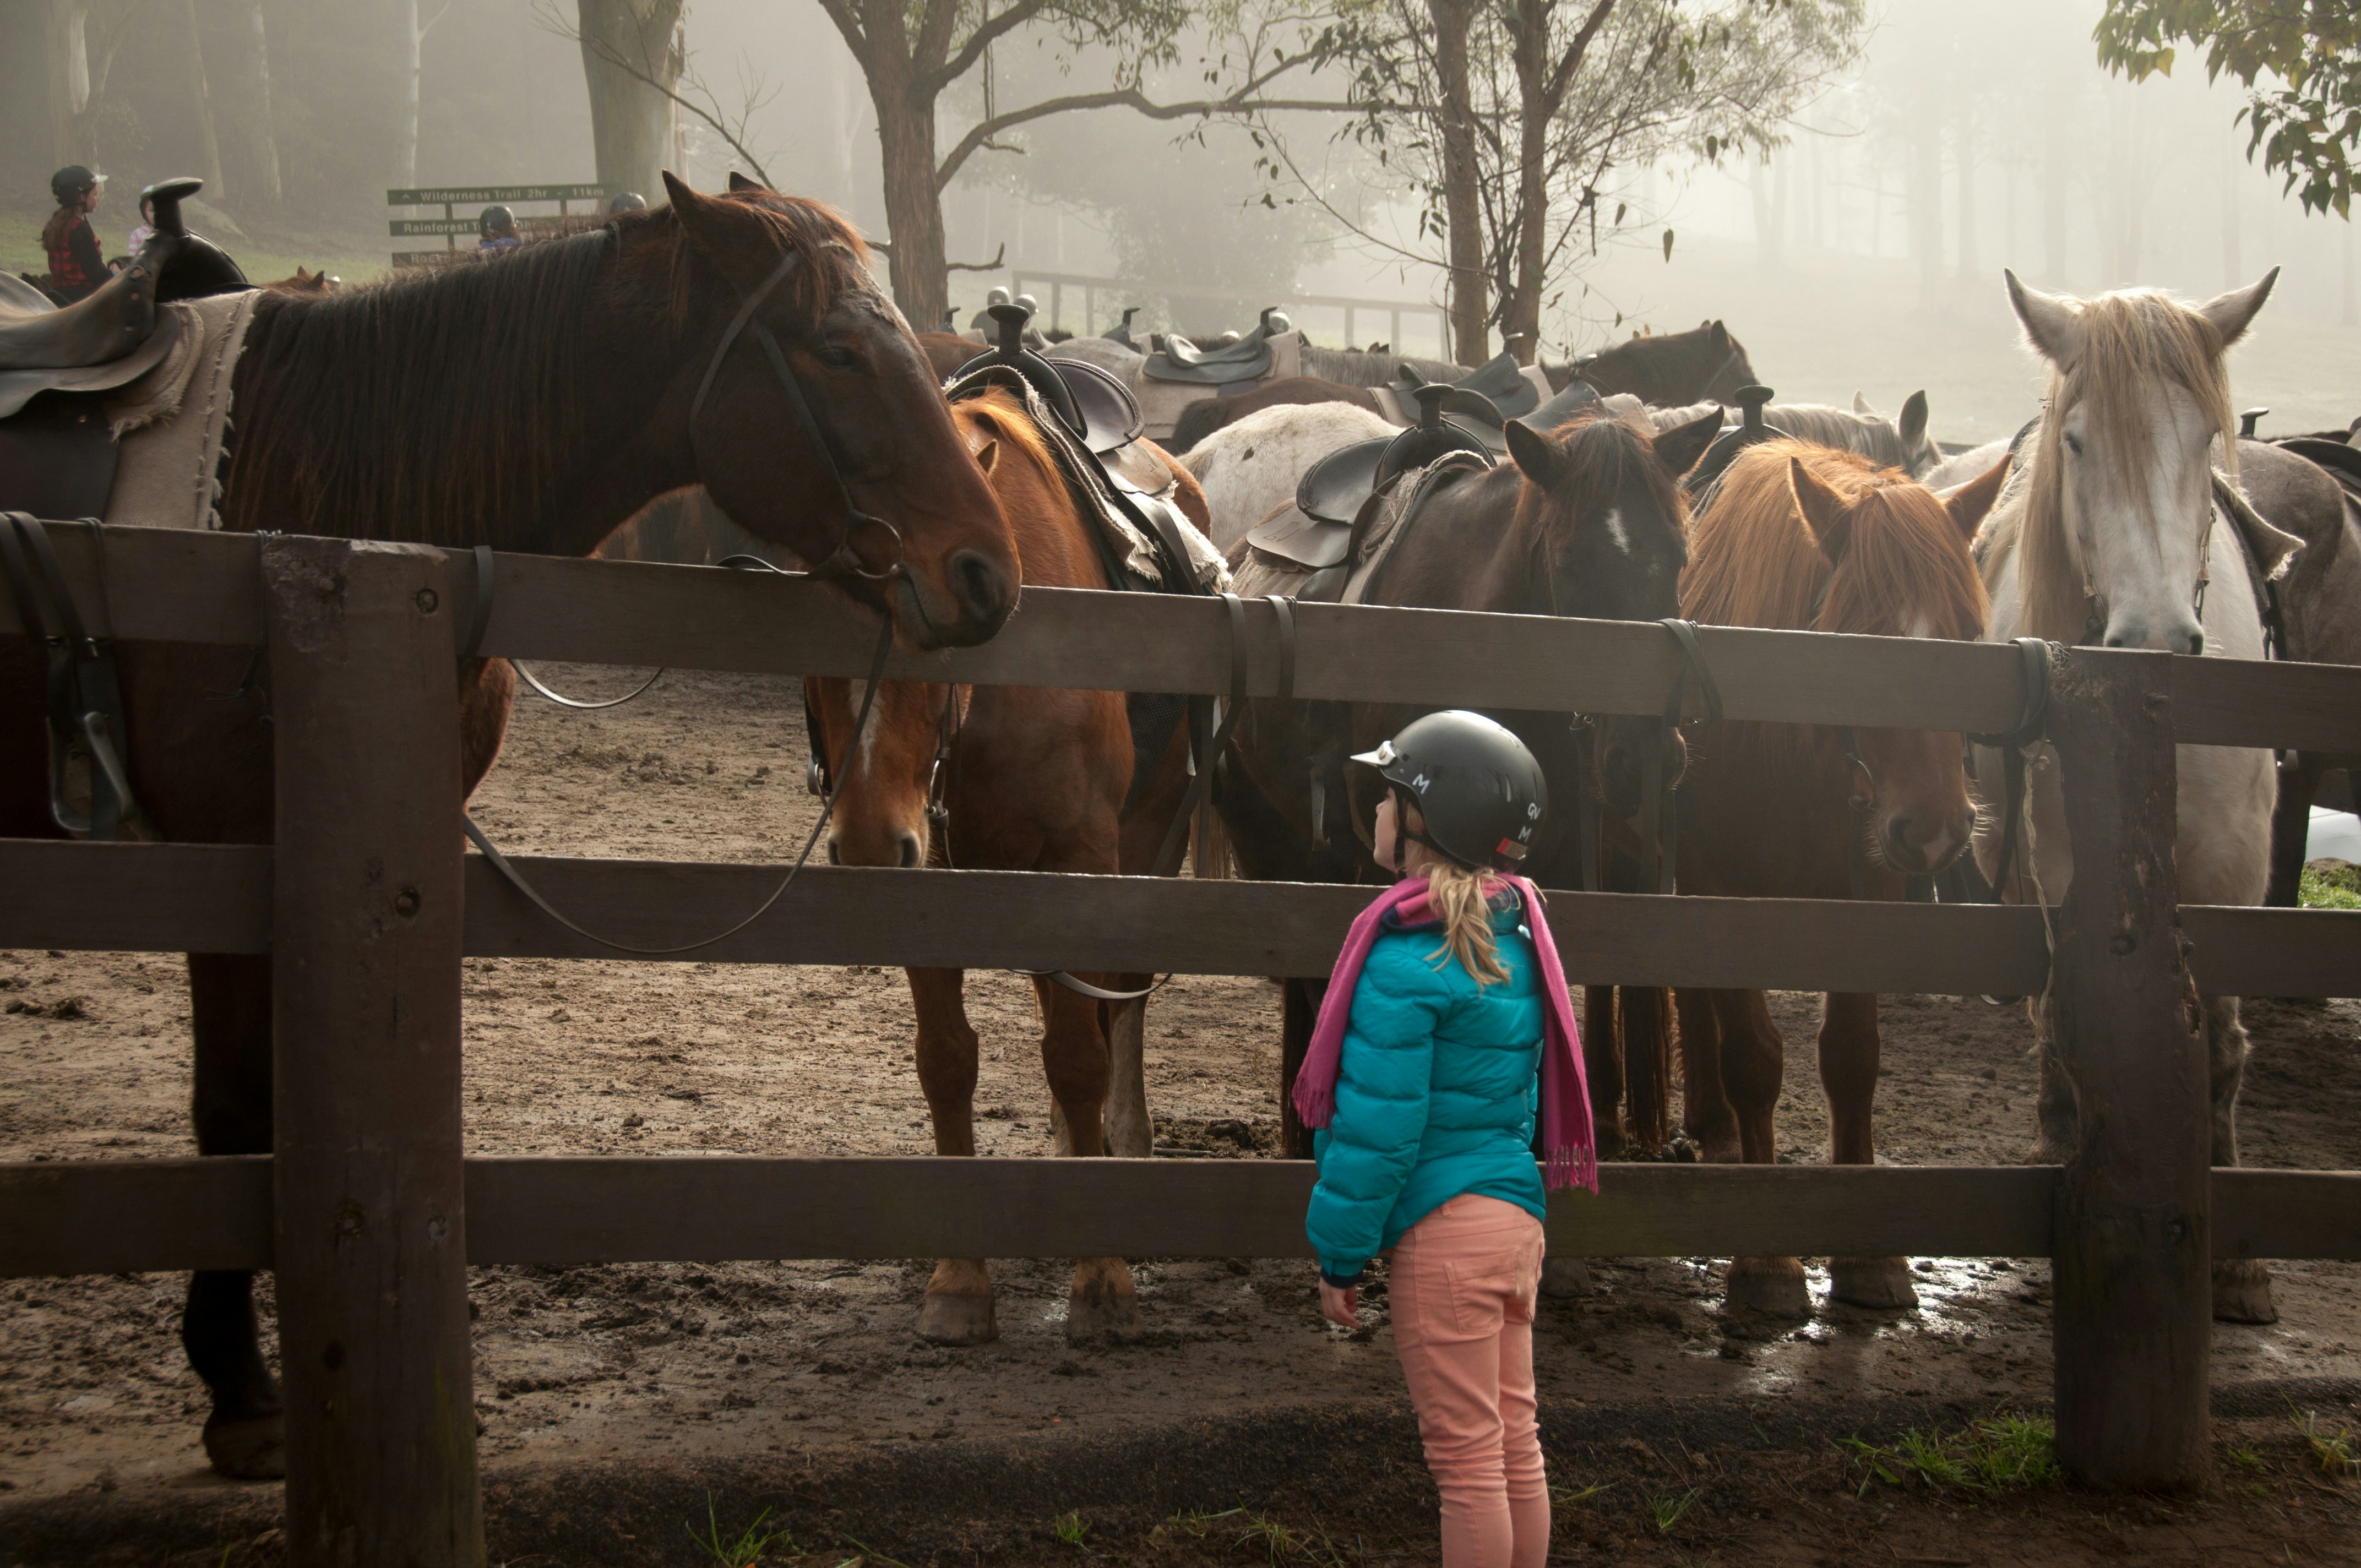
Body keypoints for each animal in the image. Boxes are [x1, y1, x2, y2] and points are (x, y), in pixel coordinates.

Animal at [0, 177, 1015, 1473]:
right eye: (837, 349)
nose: (986, 574)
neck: (311, 504)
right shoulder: (225, 857)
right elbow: (232, 1113)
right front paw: (238, 1387)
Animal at [812, 382, 1209, 1351]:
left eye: (938, 631)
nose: (869, 846)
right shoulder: (936, 878)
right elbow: (948, 1061)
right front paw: (960, 1281)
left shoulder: (1081, 862)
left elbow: (1079, 1056)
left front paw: (1102, 1277)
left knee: (1119, 1008)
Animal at [1652, 444, 2002, 1322]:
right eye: (1859, 640)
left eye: (1971, 636)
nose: (1936, 826)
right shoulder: (1722, 896)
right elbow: (1753, 1057)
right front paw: (1767, 1262)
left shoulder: (1867, 895)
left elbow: (1852, 1057)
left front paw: (1868, 1258)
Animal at [1973, 269, 2285, 1322]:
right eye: (2077, 441)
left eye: (2203, 435)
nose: (2154, 635)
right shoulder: (2069, 865)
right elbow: (2074, 1017)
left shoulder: (2234, 873)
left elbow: (2221, 1043)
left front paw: (2237, 1264)